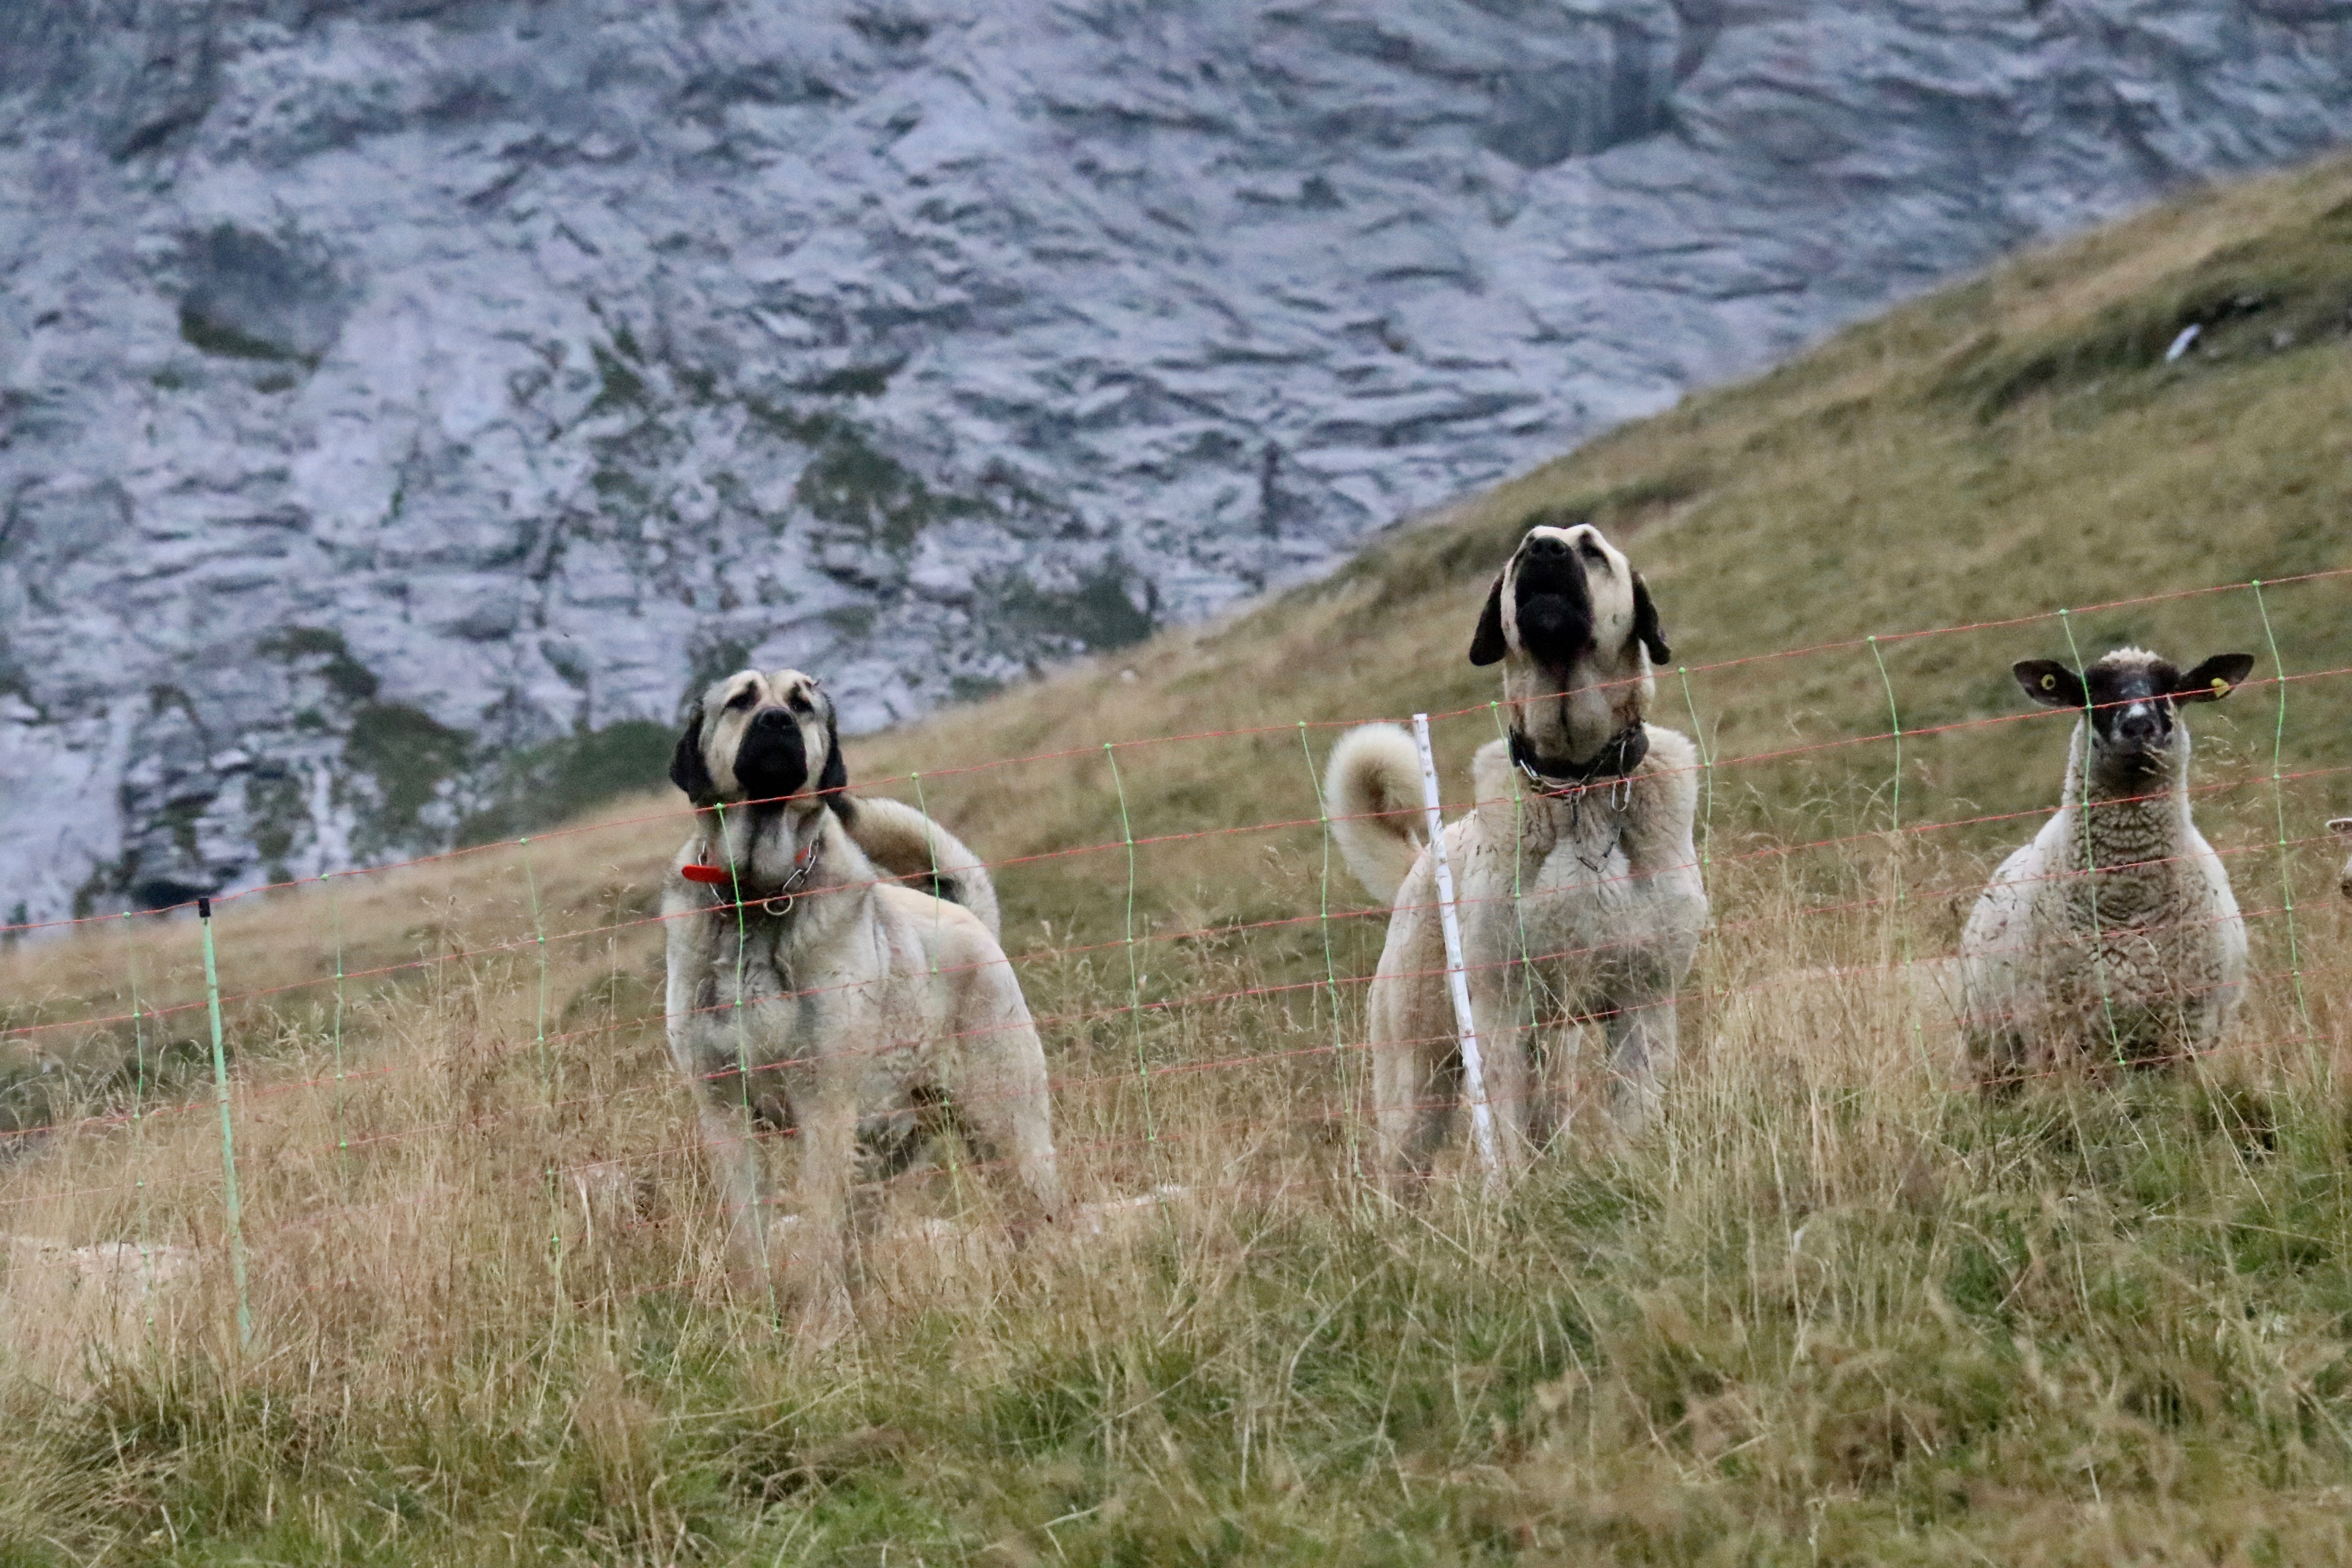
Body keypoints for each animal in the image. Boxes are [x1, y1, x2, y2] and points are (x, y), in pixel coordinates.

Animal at [663, 668, 1068, 1335]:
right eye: (742, 700)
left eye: (802, 704)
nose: (777, 723)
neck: (756, 899)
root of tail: (970, 918)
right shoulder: (724, 1113)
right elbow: (752, 1230)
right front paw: (761, 1319)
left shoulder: (823, 1106)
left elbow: (820, 1228)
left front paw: (817, 1332)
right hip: (885, 1147)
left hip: (1004, 1128)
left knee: (1038, 1214)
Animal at [1947, 644, 2258, 1086]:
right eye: (2091, 690)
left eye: (2173, 688)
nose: (2139, 725)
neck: (2129, 901)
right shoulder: (2063, 1038)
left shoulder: (2189, 1034)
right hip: (1995, 1053)